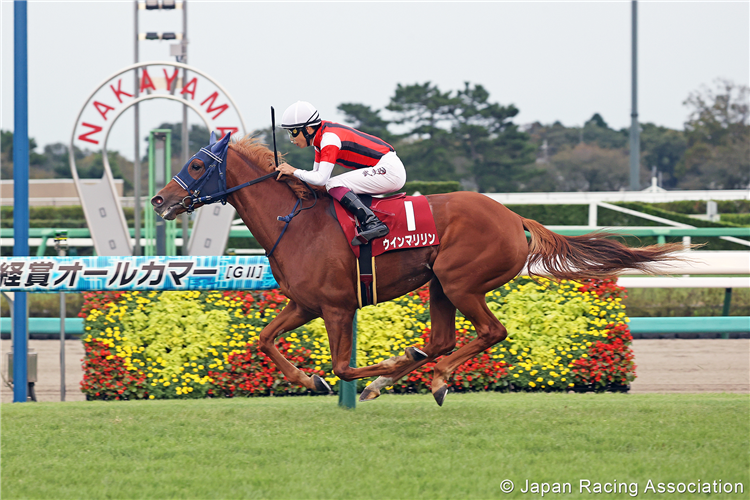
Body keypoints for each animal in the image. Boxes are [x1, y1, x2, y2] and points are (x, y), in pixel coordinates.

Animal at [150, 136, 684, 406]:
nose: (158, 199)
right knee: (444, 339)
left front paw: (377, 369)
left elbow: (344, 365)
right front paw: (312, 380)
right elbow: (264, 341)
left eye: (196, 164)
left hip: (460, 281)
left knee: (489, 332)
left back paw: (437, 378)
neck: (295, 222)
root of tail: (515, 218)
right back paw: (418, 373)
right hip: (440, 287)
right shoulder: (305, 304)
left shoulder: (337, 307)